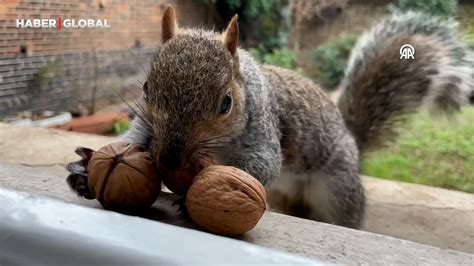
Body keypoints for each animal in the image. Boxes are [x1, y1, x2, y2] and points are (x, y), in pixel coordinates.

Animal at [66, 6, 470, 229]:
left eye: (226, 103)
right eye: (147, 88)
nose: (169, 161)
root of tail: (351, 141)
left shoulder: (263, 131)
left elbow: (260, 165)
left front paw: (191, 194)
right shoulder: (147, 126)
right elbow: (134, 141)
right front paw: (86, 169)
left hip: (337, 187)